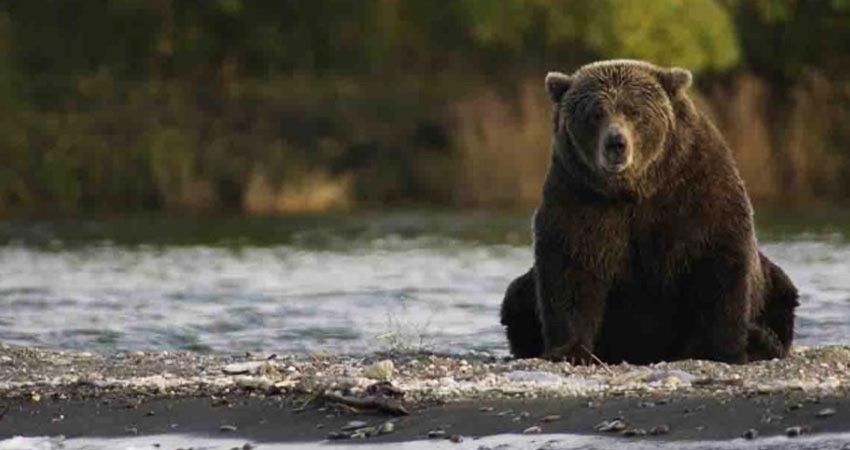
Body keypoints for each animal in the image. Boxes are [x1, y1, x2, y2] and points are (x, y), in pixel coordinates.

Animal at [500, 60, 799, 364]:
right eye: (595, 113)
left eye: (635, 111)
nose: (616, 144)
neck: (635, 189)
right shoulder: (578, 195)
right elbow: (572, 268)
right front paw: (570, 351)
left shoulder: (694, 191)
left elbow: (718, 264)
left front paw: (724, 349)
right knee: (516, 297)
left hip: (773, 284)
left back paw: (761, 339)